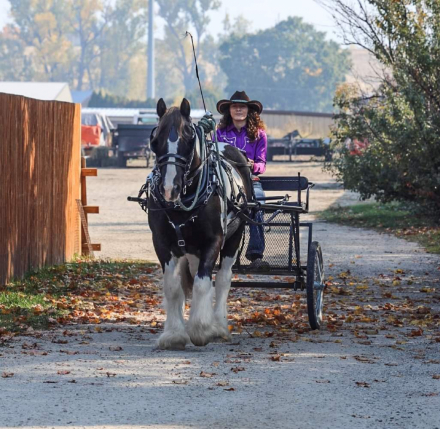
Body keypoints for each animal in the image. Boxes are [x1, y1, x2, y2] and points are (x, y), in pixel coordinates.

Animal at [147, 97, 251, 348]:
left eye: (187, 138)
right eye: (155, 140)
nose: (169, 188)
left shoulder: (214, 240)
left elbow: (204, 282)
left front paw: (201, 329)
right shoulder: (162, 243)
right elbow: (173, 286)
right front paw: (174, 334)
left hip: (235, 237)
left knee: (222, 279)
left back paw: (220, 325)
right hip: (191, 248)